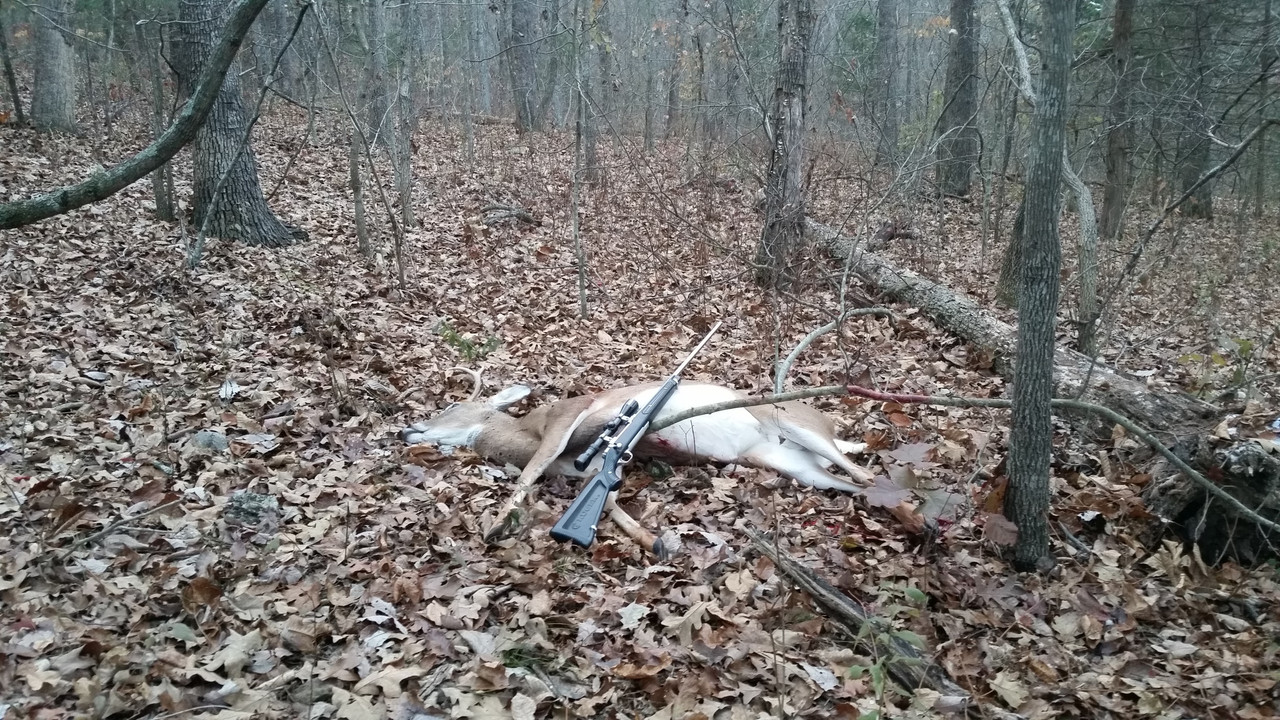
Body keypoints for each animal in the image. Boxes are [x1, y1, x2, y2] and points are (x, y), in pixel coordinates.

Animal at [400, 367, 886, 558]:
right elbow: (607, 504)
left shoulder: (569, 417)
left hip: (787, 420)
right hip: (789, 462)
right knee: (856, 481)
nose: (408, 430)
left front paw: (495, 525)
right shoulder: (594, 468)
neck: (527, 430)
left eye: (451, 407)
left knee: (864, 471)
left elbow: (532, 472)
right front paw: (655, 542)